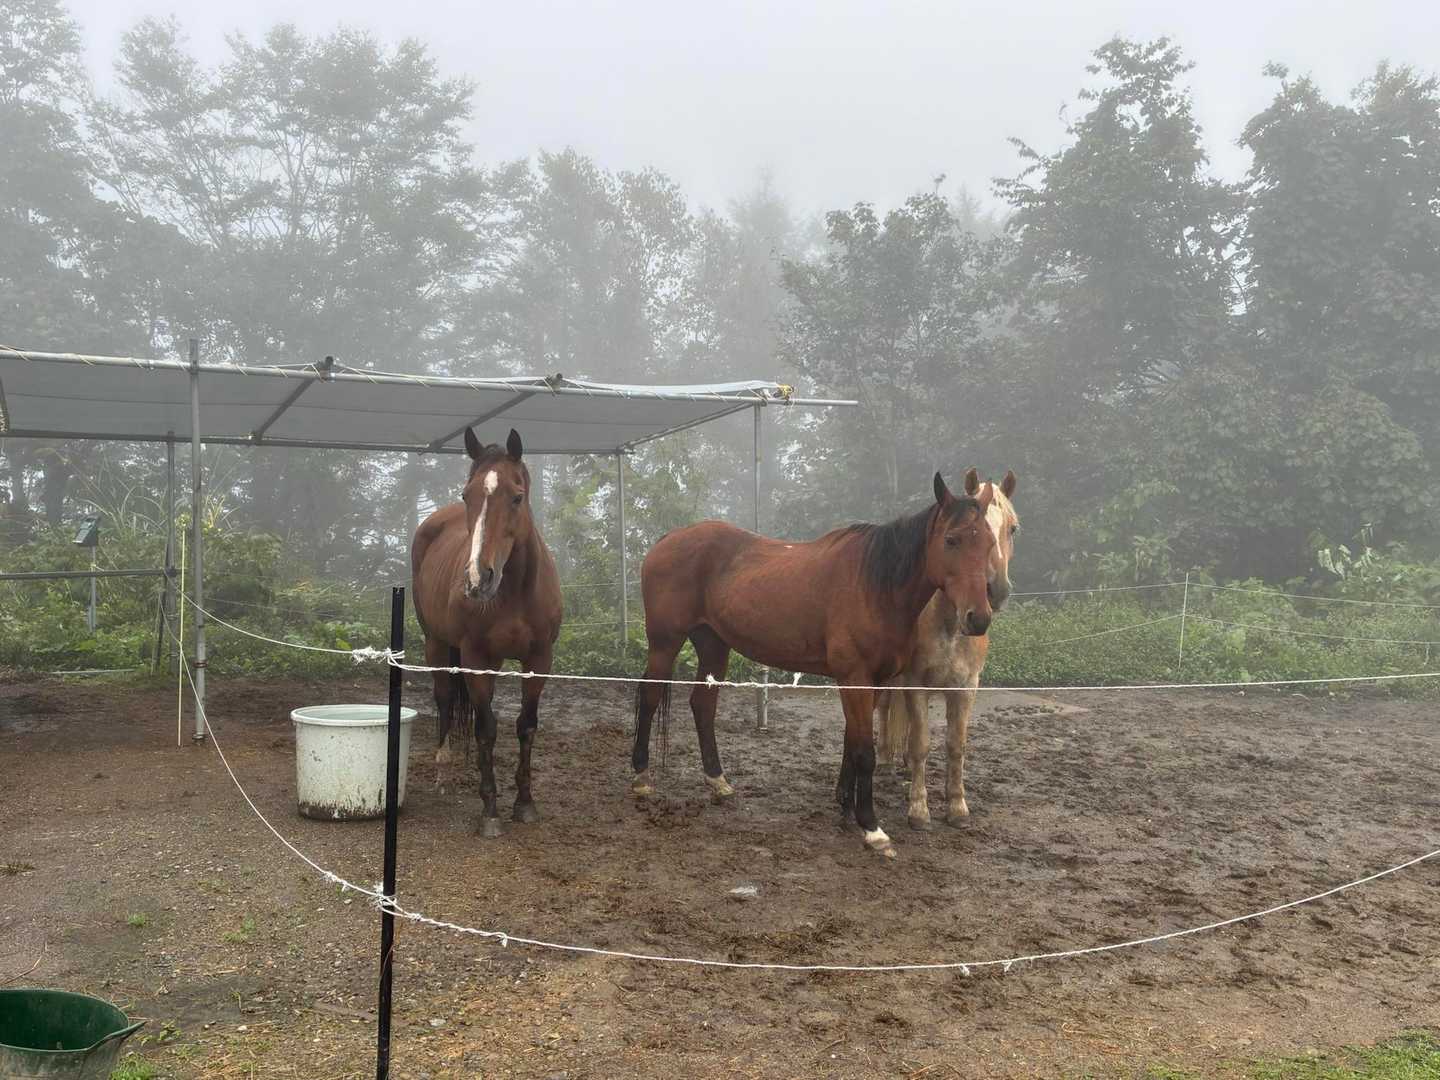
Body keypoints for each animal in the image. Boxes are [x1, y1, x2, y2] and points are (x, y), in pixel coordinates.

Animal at [411, 427, 563, 838]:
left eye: (517, 496)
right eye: (468, 495)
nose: (478, 578)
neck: (515, 593)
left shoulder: (539, 659)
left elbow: (526, 725)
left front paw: (524, 803)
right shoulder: (476, 658)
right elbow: (486, 728)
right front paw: (490, 810)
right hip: (436, 644)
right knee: (444, 699)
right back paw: (443, 771)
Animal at [630, 469, 997, 858]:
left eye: (989, 543)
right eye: (952, 540)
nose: (978, 619)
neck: (874, 585)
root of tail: (667, 540)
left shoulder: (871, 681)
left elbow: (852, 742)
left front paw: (846, 807)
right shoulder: (854, 678)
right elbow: (864, 751)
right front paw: (872, 827)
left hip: (713, 645)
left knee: (702, 706)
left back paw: (718, 782)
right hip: (665, 643)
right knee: (650, 699)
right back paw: (641, 777)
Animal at [876, 471, 1018, 830]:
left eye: (1012, 528)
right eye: (953, 540)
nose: (995, 591)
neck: (950, 625)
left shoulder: (966, 687)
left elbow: (956, 745)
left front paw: (956, 806)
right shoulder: (915, 683)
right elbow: (921, 744)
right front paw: (918, 810)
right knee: (884, 708)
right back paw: (884, 759)